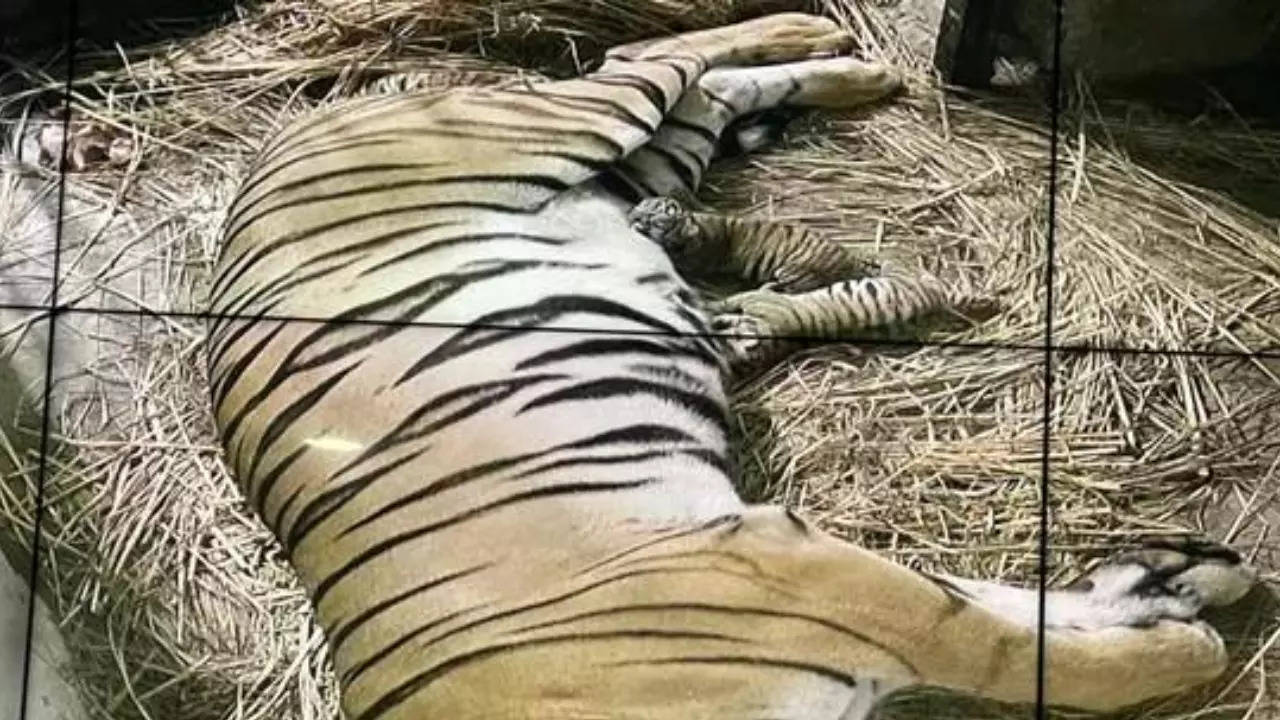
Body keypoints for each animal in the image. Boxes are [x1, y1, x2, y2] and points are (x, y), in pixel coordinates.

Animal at [204, 11, 1254, 717]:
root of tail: (285, 133)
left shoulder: (785, 566)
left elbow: (1003, 633)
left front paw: (1181, 606)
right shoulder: (800, 575)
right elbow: (1011, 629)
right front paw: (1177, 601)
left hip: (565, 126)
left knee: (647, 58)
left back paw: (832, 36)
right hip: (632, 168)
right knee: (699, 86)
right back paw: (859, 71)